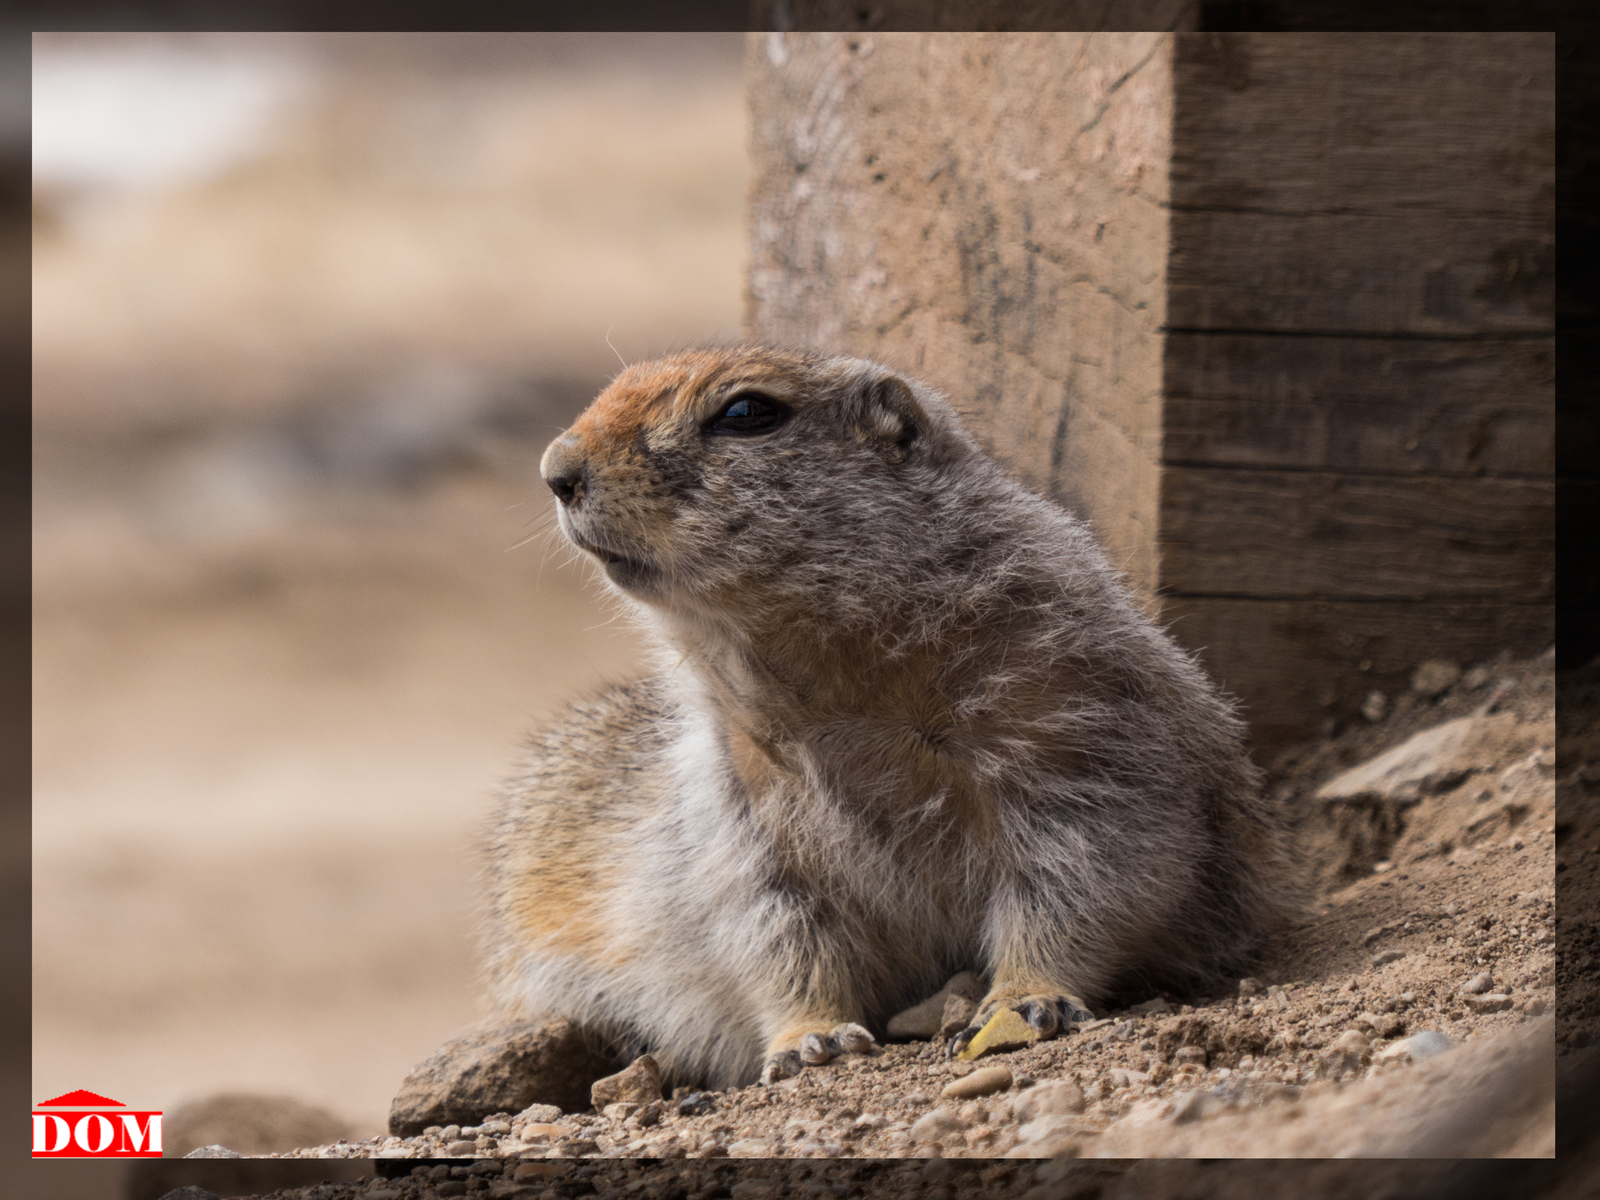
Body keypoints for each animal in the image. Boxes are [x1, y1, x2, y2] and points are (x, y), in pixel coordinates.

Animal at [480, 345, 1292, 1088]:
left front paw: (1029, 998)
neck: (826, 680)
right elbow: (775, 935)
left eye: (746, 412)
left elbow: (1086, 876)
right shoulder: (736, 810)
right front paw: (811, 1039)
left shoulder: (1072, 726)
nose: (557, 470)